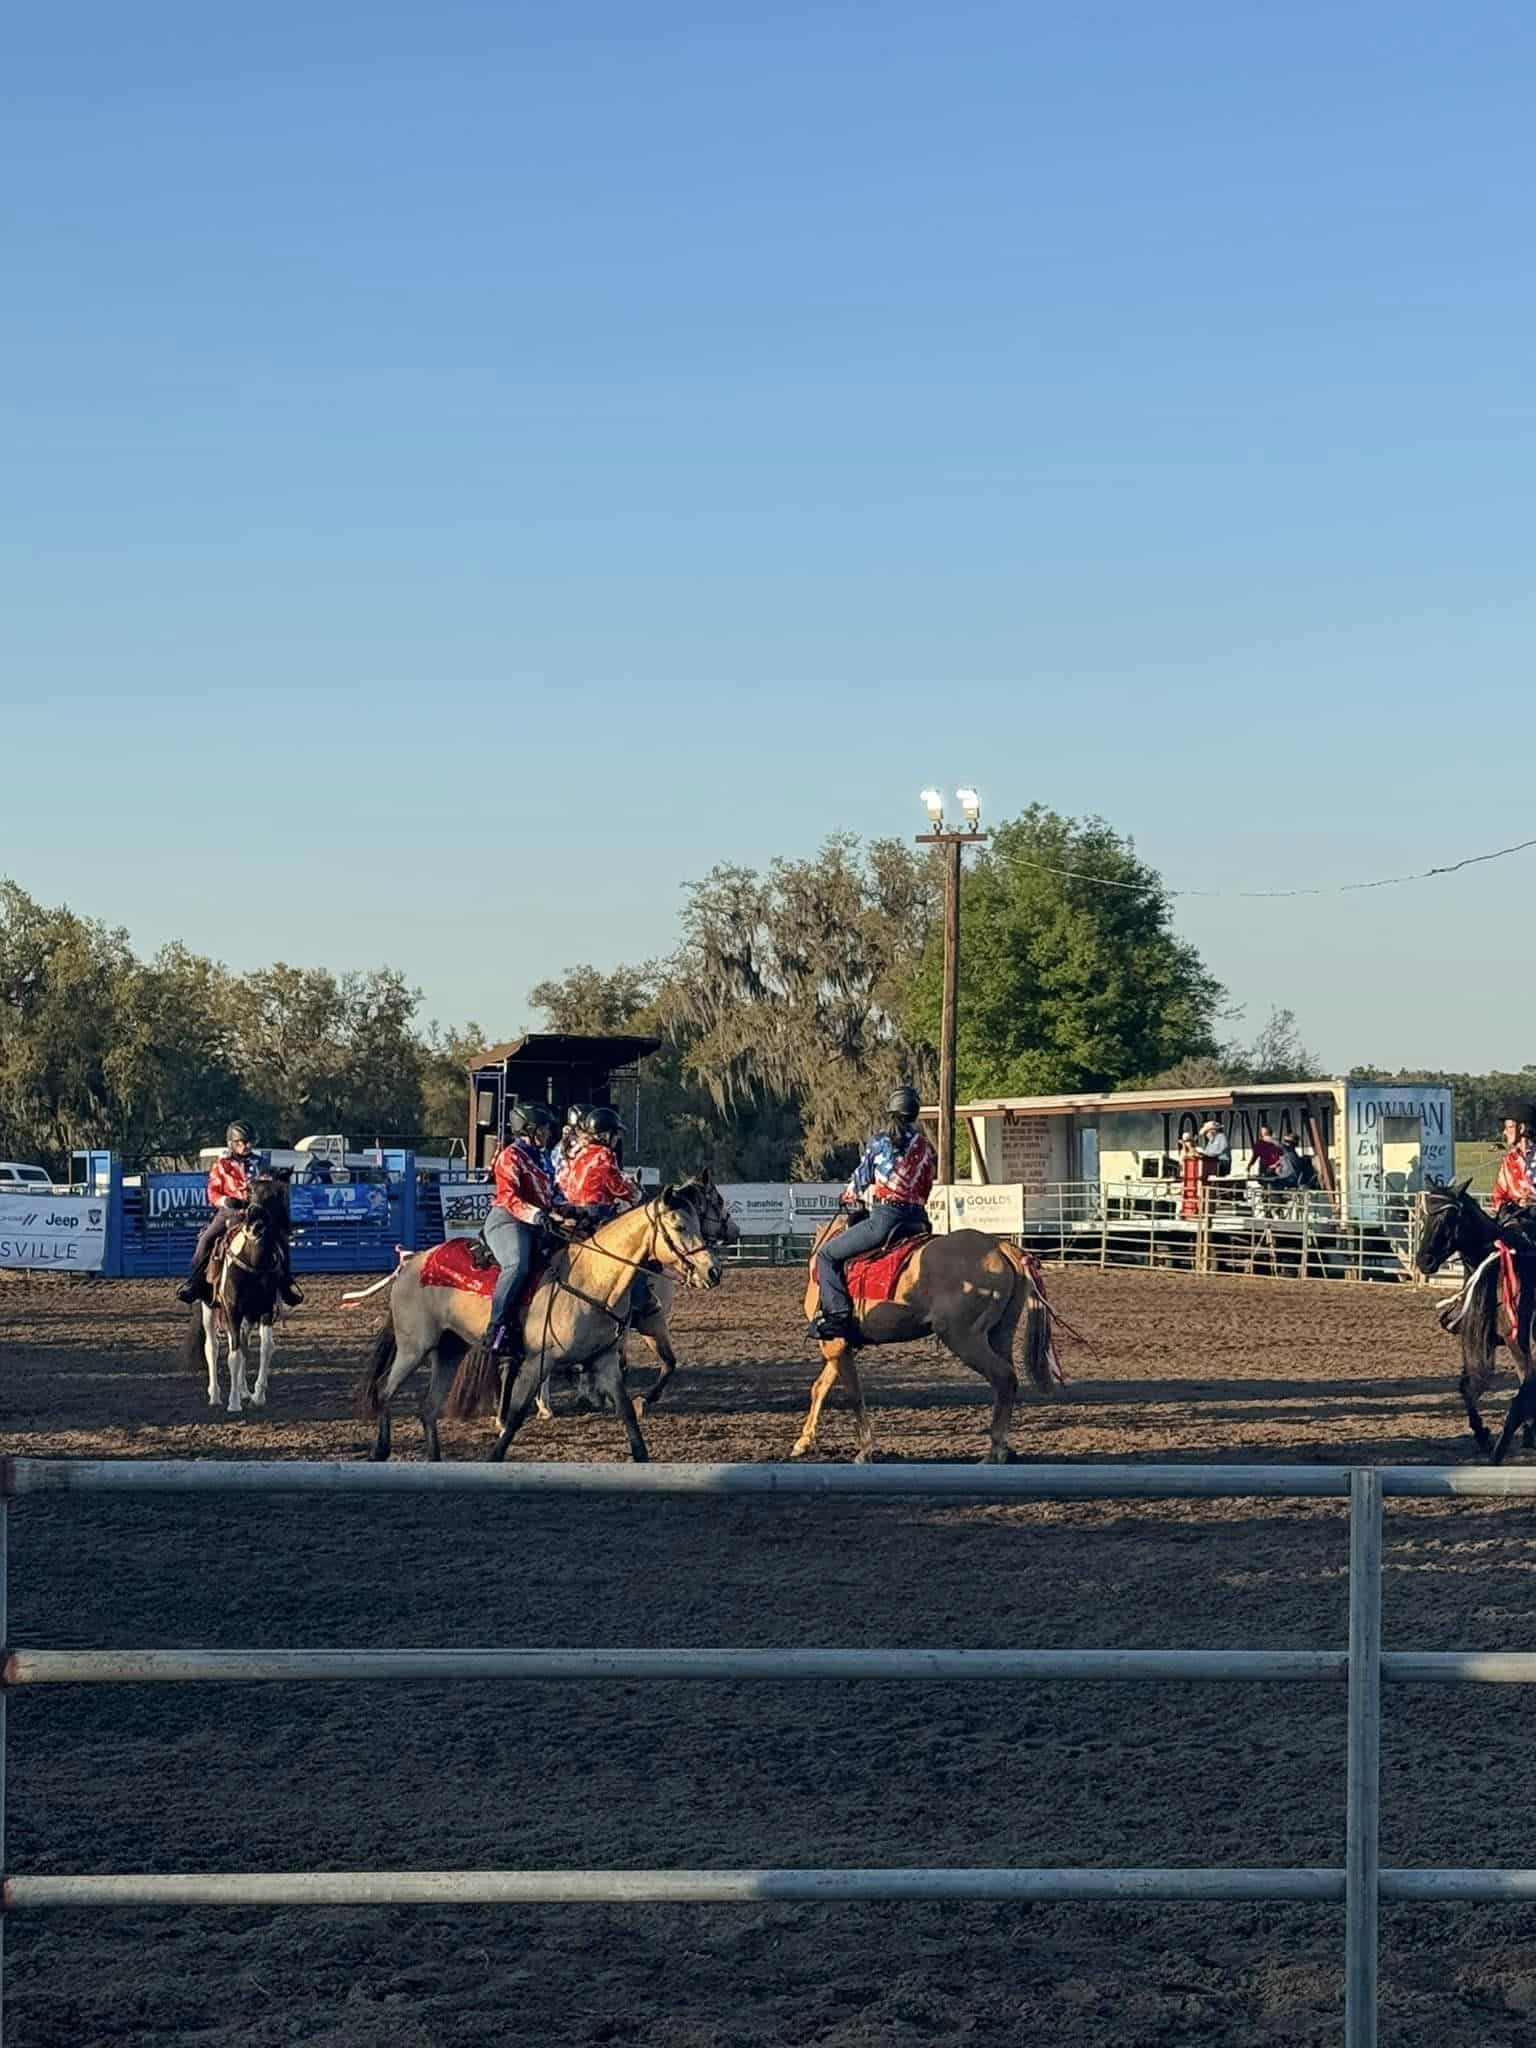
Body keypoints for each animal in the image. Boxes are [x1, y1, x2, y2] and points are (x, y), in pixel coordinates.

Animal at [185, 1179, 290, 1417]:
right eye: (249, 1192)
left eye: (275, 1195)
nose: (254, 1226)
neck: (254, 1262)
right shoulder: (232, 1310)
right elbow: (232, 1356)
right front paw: (233, 1403)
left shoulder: (266, 1309)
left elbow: (265, 1349)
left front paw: (257, 1396)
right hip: (209, 1307)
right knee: (212, 1348)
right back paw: (215, 1395)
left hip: (247, 1317)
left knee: (243, 1345)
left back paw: (243, 1391)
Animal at [354, 1179, 729, 1466]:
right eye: (679, 1226)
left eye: (698, 1222)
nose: (713, 1271)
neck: (590, 1277)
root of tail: (414, 1262)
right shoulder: (538, 1361)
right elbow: (516, 1415)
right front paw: (495, 1454)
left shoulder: (605, 1359)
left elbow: (626, 1410)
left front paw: (641, 1450)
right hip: (414, 1348)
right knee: (385, 1391)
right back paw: (380, 1450)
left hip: (449, 1350)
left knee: (428, 1408)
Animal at [798, 1204, 1064, 1466]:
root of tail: (1000, 1246)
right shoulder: (842, 1344)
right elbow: (820, 1387)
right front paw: (803, 1442)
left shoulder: (834, 1343)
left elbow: (854, 1395)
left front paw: (865, 1451)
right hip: (1000, 1333)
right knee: (1007, 1380)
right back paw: (1003, 1450)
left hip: (963, 1338)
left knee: (1004, 1377)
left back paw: (994, 1453)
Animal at [1417, 1179, 1536, 1466]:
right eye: (1426, 1216)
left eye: (1449, 1217)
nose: (1423, 1260)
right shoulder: (1477, 1338)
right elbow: (1466, 1387)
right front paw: (1482, 1435)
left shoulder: (1520, 1344)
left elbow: (1520, 1398)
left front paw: (1496, 1452)